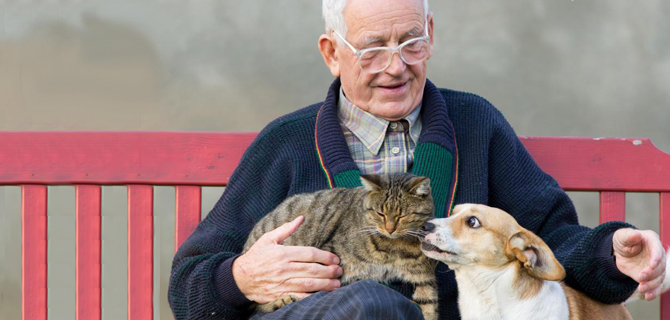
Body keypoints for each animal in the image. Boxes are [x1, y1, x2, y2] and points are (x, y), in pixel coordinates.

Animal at [244, 174, 438, 318]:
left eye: (402, 215)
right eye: (380, 213)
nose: (390, 229)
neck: (395, 245)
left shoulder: (424, 277)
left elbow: (429, 307)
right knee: (256, 303)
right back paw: (281, 300)